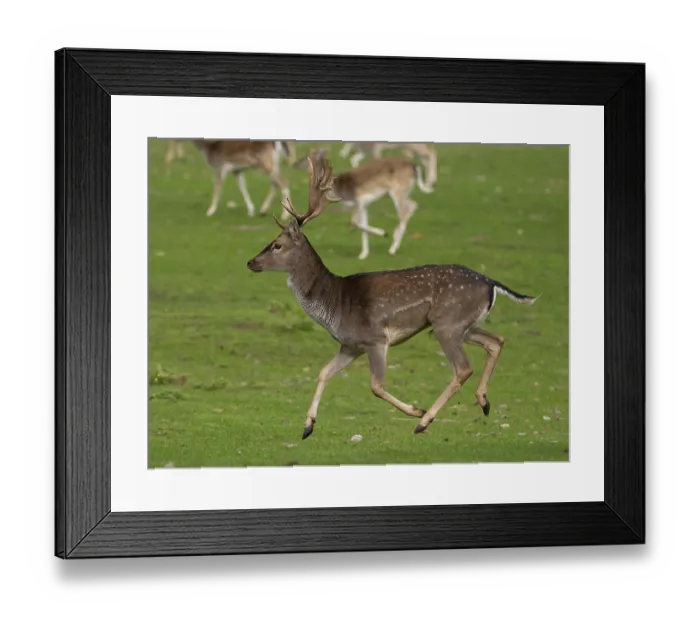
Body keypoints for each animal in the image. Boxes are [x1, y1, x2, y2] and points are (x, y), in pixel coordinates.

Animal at [293, 149, 434, 260]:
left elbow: (355, 222)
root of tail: (415, 166)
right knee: (413, 205)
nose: (295, 163)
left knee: (406, 209)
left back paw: (393, 248)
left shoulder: (358, 202)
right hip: (404, 192)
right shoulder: (364, 205)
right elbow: (362, 224)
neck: (338, 191)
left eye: (307, 157)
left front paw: (383, 233)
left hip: (397, 191)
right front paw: (363, 254)